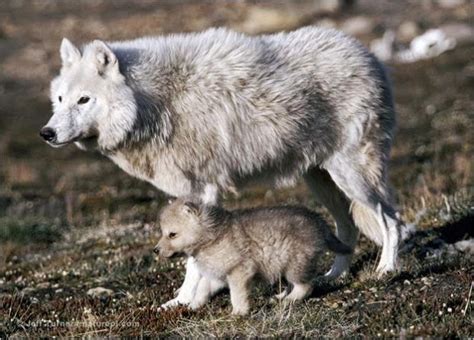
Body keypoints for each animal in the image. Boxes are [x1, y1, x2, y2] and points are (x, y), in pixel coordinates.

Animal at [39, 25, 408, 308]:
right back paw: (333, 276)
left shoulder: (203, 192)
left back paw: (386, 270)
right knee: (348, 228)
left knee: (391, 219)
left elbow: (193, 262)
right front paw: (183, 301)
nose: (47, 133)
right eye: (59, 99)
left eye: (84, 100)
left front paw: (188, 302)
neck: (154, 105)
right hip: (322, 182)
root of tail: (369, 55)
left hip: (353, 178)